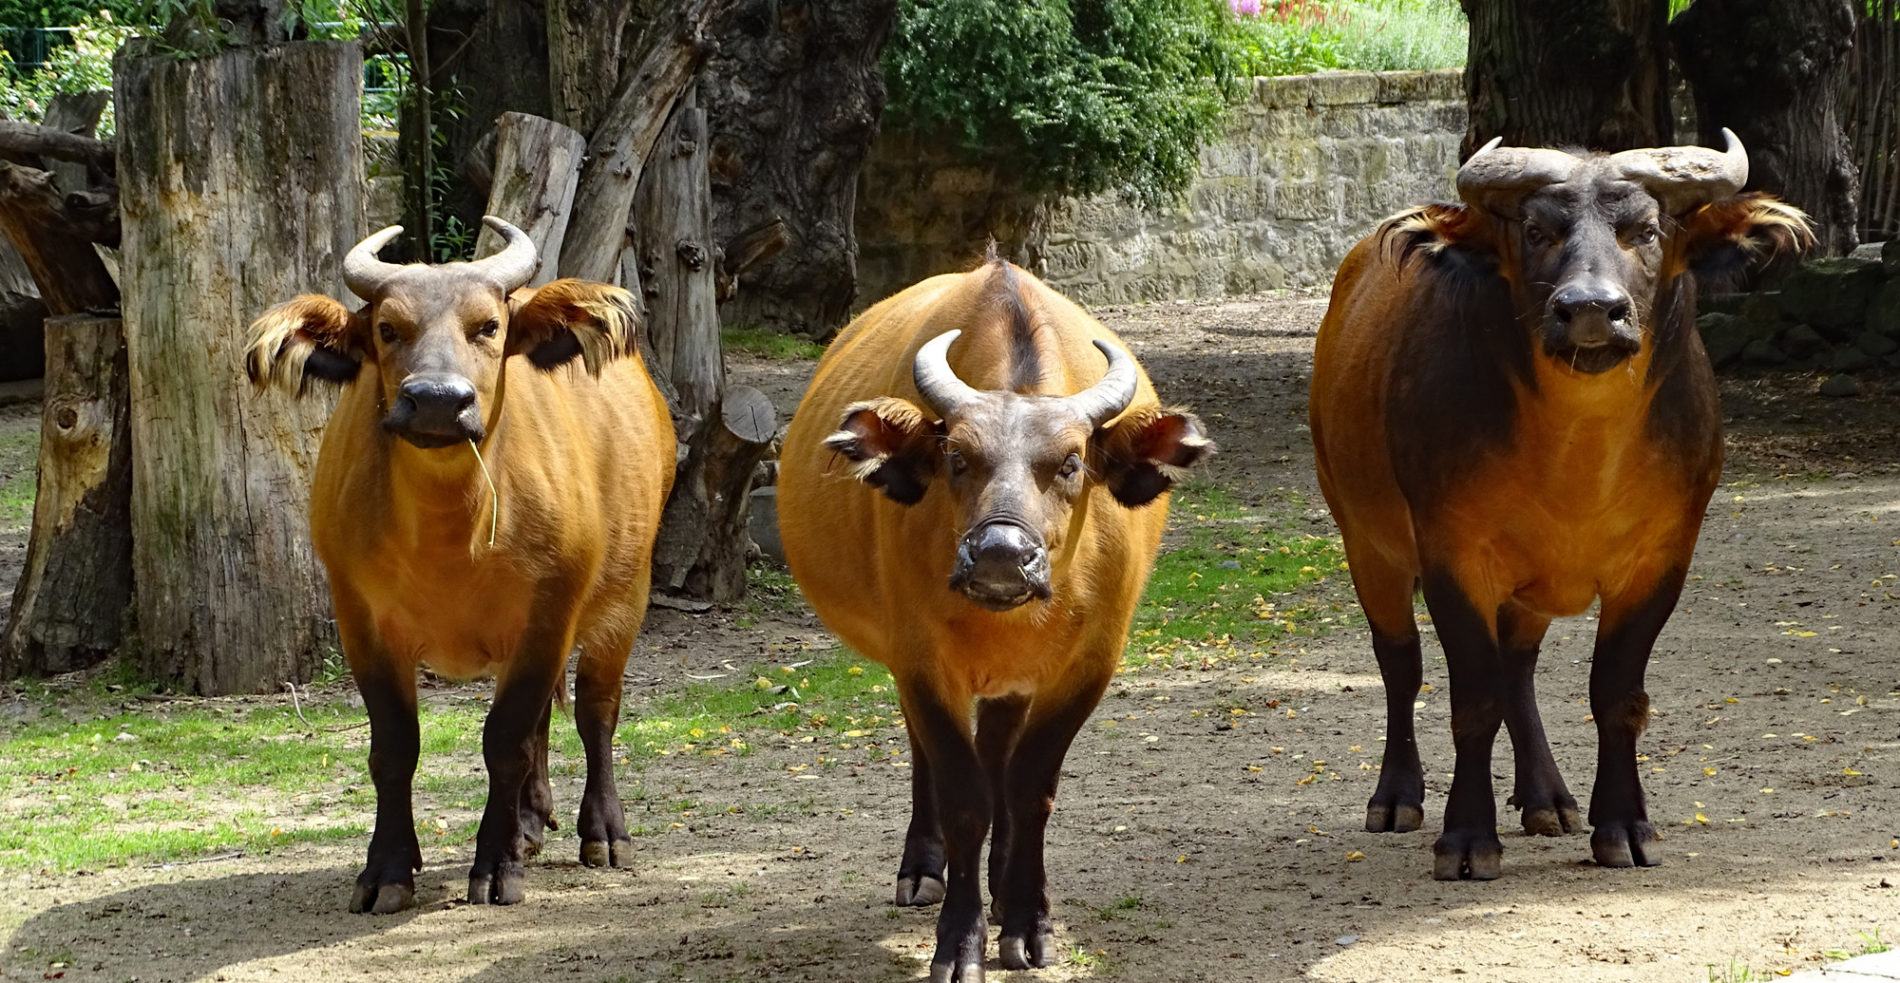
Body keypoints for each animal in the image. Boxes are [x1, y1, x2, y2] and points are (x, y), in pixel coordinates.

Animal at [245, 218, 676, 908]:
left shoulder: (548, 616)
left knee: (595, 712)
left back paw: (603, 832)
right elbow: (395, 747)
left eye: (489, 326)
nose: (439, 401)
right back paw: (528, 824)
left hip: (625, 599)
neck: (449, 535)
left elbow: (505, 742)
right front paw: (387, 869)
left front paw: (496, 866)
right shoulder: (361, 621)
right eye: (388, 328)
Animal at [775, 256, 1208, 973]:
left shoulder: (1089, 664)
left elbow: (1028, 787)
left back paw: (1003, 887)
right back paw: (924, 869)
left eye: (1071, 462)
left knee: (1001, 757)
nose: (1001, 555)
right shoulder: (921, 659)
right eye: (957, 457)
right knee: (931, 753)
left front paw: (1027, 919)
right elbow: (964, 796)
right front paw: (960, 938)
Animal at [1307, 132, 1808, 882]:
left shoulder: (1663, 558)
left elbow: (1616, 695)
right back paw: (1397, 796)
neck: (1578, 456)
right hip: (1366, 542)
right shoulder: (1453, 556)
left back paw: (1547, 796)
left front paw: (1623, 825)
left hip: (1528, 587)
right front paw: (1466, 837)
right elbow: (1473, 698)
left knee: (1519, 667)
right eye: (1538, 231)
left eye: (1647, 230)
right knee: (1400, 662)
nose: (1592, 310)